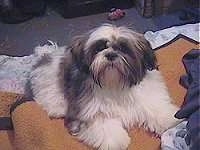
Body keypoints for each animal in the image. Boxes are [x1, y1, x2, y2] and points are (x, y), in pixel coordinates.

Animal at [30, 23, 181, 150]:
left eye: (123, 48)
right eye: (99, 48)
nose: (110, 54)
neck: (116, 83)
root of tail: (46, 55)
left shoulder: (148, 96)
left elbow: (155, 107)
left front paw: (170, 119)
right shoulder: (92, 111)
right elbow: (105, 126)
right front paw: (116, 142)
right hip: (48, 81)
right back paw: (57, 107)